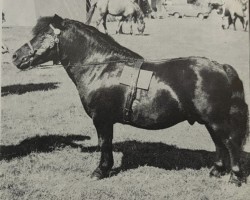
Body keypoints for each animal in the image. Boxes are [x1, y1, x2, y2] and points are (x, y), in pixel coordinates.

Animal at [13, 14, 248, 187]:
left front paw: (100, 171)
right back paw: (216, 171)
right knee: (219, 144)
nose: (15, 56)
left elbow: (104, 143)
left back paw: (235, 177)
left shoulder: (102, 119)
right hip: (210, 121)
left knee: (230, 143)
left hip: (217, 120)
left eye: (43, 34)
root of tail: (222, 67)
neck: (102, 67)